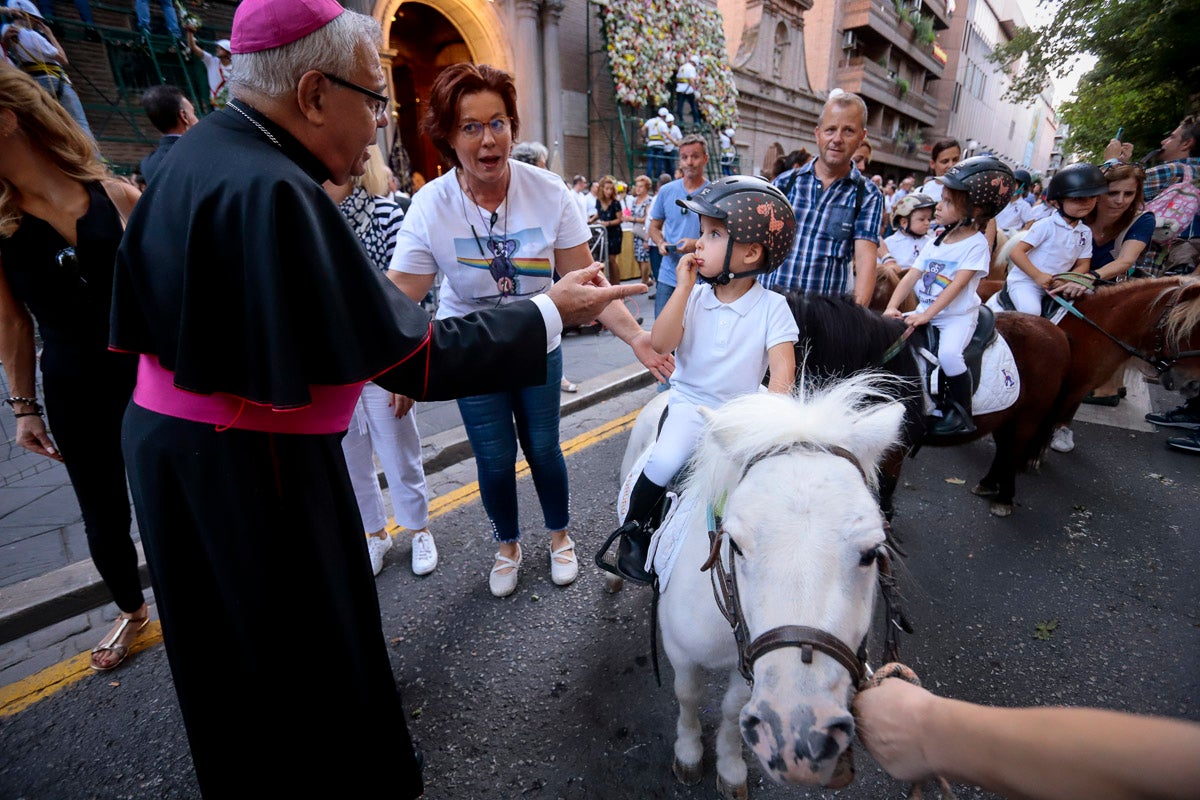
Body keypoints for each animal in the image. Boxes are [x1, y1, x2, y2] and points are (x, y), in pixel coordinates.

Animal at [614, 379, 902, 796]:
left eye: (871, 553)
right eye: (734, 544)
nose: (799, 736)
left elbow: (733, 709)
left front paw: (730, 766)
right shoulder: (680, 651)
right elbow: (687, 695)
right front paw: (689, 752)